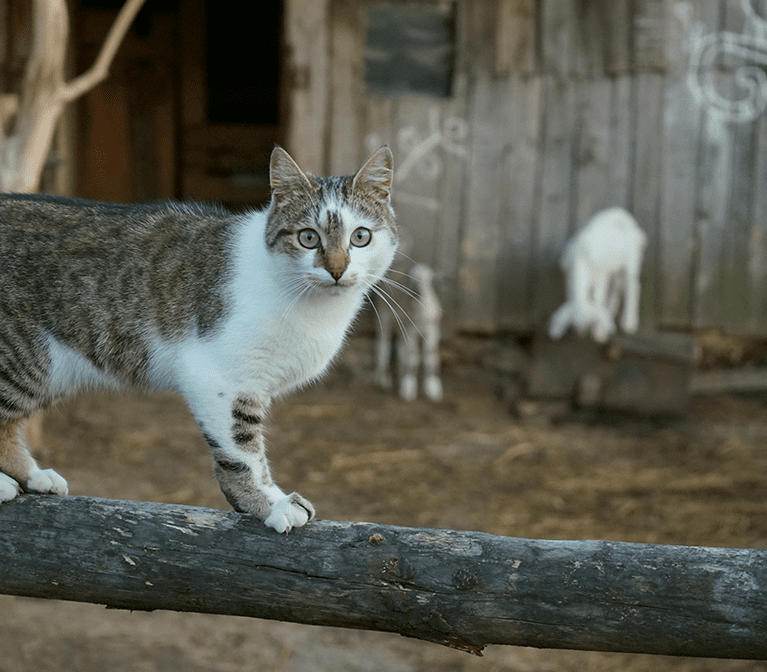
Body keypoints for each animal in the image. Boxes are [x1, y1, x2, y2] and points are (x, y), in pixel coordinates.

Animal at [0, 146, 396, 532]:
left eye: (361, 236)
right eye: (308, 237)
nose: (337, 269)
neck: (313, 304)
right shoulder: (218, 378)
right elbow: (242, 451)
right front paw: (268, 503)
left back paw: (33, 475)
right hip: (25, 356)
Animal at [374, 262, 444, 400]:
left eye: (429, 280)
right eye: (411, 280)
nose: (417, 292)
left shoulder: (432, 330)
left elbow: (430, 357)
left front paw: (432, 388)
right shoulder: (411, 330)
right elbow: (413, 357)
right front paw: (409, 388)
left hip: (401, 327)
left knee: (401, 350)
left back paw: (400, 376)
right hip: (385, 319)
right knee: (383, 346)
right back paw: (384, 380)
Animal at [544, 206, 648, 344]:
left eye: (590, 323)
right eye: (573, 324)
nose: (580, 335)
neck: (581, 258)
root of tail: (623, 213)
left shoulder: (602, 276)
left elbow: (599, 298)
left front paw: (599, 333)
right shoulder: (569, 276)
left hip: (632, 260)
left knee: (633, 286)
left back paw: (629, 323)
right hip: (615, 267)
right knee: (618, 286)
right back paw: (612, 310)